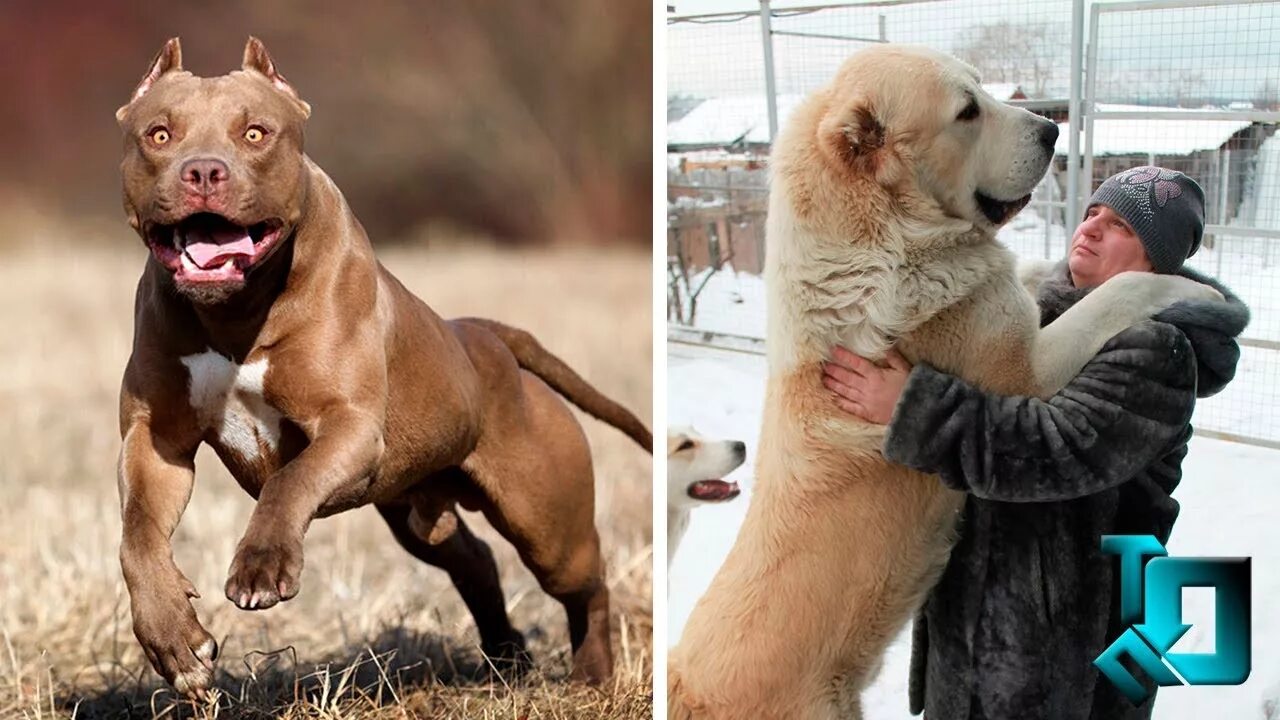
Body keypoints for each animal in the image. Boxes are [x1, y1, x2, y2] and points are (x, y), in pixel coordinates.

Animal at [115, 37, 655, 696]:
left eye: (256, 133)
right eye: (159, 134)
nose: (202, 171)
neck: (235, 313)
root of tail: (485, 336)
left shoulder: (347, 426)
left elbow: (288, 479)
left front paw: (261, 566)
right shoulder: (156, 441)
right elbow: (137, 536)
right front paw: (174, 640)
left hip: (547, 525)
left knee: (588, 581)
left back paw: (592, 674)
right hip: (419, 515)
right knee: (474, 561)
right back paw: (506, 658)